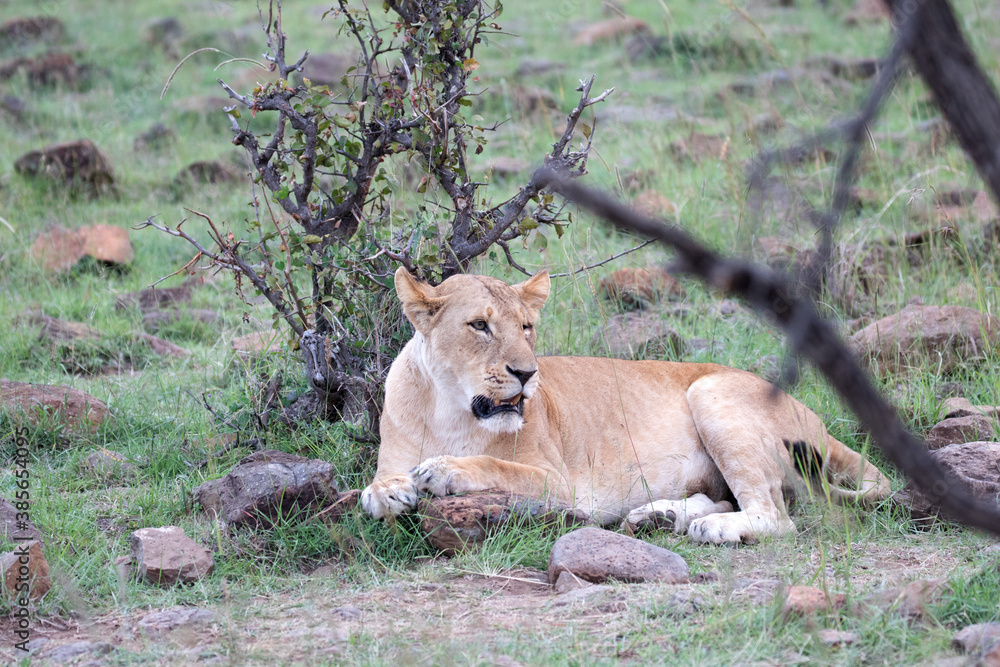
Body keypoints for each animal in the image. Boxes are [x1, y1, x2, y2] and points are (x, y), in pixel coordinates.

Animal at [360, 267, 891, 544]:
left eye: (526, 327)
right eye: (479, 326)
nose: (527, 374)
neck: (452, 408)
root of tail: (818, 420)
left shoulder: (560, 484)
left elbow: (493, 464)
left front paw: (443, 470)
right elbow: (376, 486)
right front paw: (389, 493)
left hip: (710, 394)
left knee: (776, 516)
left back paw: (712, 528)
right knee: (726, 497)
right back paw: (660, 517)